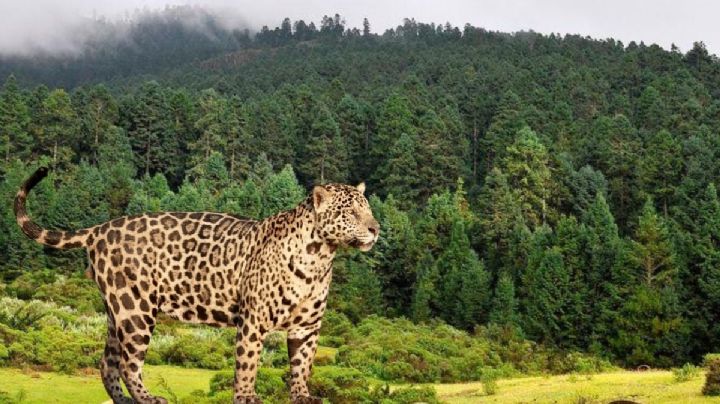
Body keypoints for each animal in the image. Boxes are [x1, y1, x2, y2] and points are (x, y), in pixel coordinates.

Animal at [14, 167, 380, 404]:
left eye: (368, 209)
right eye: (351, 212)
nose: (376, 228)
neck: (320, 255)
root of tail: (101, 229)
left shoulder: (308, 326)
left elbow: (303, 364)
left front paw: (303, 395)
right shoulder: (253, 320)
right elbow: (248, 363)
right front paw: (247, 396)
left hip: (116, 311)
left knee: (108, 362)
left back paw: (126, 400)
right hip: (135, 310)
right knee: (130, 363)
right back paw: (148, 398)